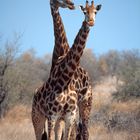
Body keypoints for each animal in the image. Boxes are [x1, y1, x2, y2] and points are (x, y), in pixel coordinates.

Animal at [31, 0, 101, 139]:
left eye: (95, 12)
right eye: (84, 12)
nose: (71, 4)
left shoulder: (70, 114)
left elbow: (69, 135)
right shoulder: (53, 115)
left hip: (86, 104)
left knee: (84, 131)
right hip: (38, 117)